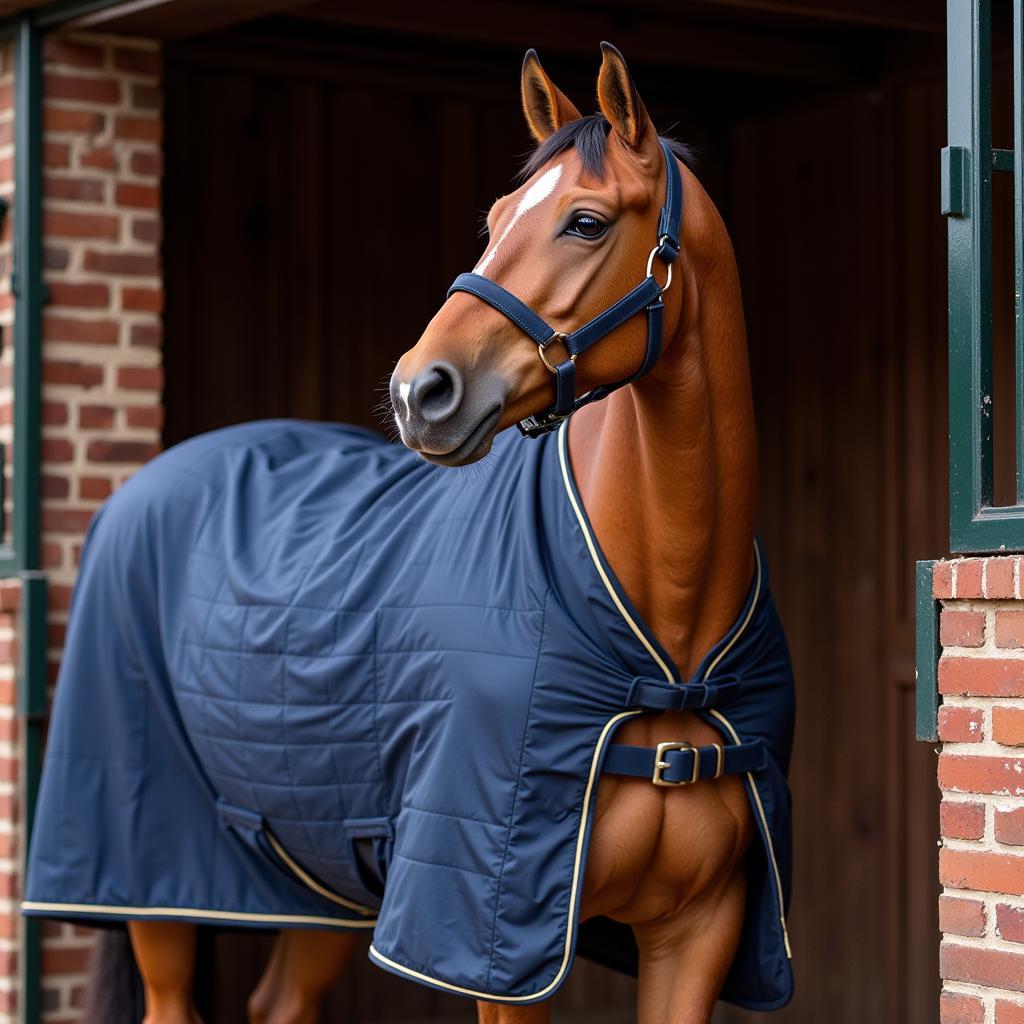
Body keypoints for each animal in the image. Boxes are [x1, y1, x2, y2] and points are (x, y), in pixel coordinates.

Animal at [25, 41, 790, 1024]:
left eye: (584, 222)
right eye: (495, 220)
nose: (419, 390)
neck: (666, 641)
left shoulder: (695, 936)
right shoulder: (493, 944)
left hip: (314, 877)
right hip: (157, 879)